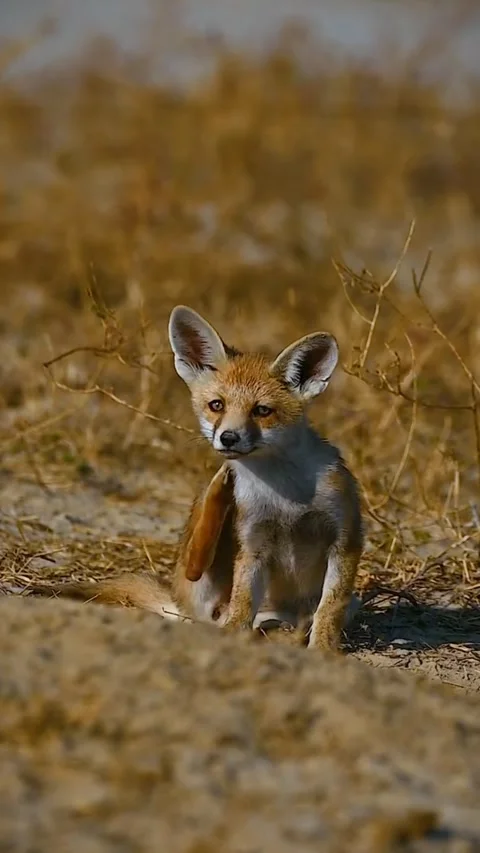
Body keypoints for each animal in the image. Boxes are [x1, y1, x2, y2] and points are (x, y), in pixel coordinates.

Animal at [28, 305, 363, 652]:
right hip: (205, 573)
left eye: (262, 411)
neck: (287, 497)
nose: (227, 438)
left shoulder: (345, 540)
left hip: (346, 601)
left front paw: (323, 648)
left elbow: (329, 609)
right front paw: (234, 638)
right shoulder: (253, 544)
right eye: (217, 405)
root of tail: (179, 602)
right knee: (200, 566)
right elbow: (243, 604)